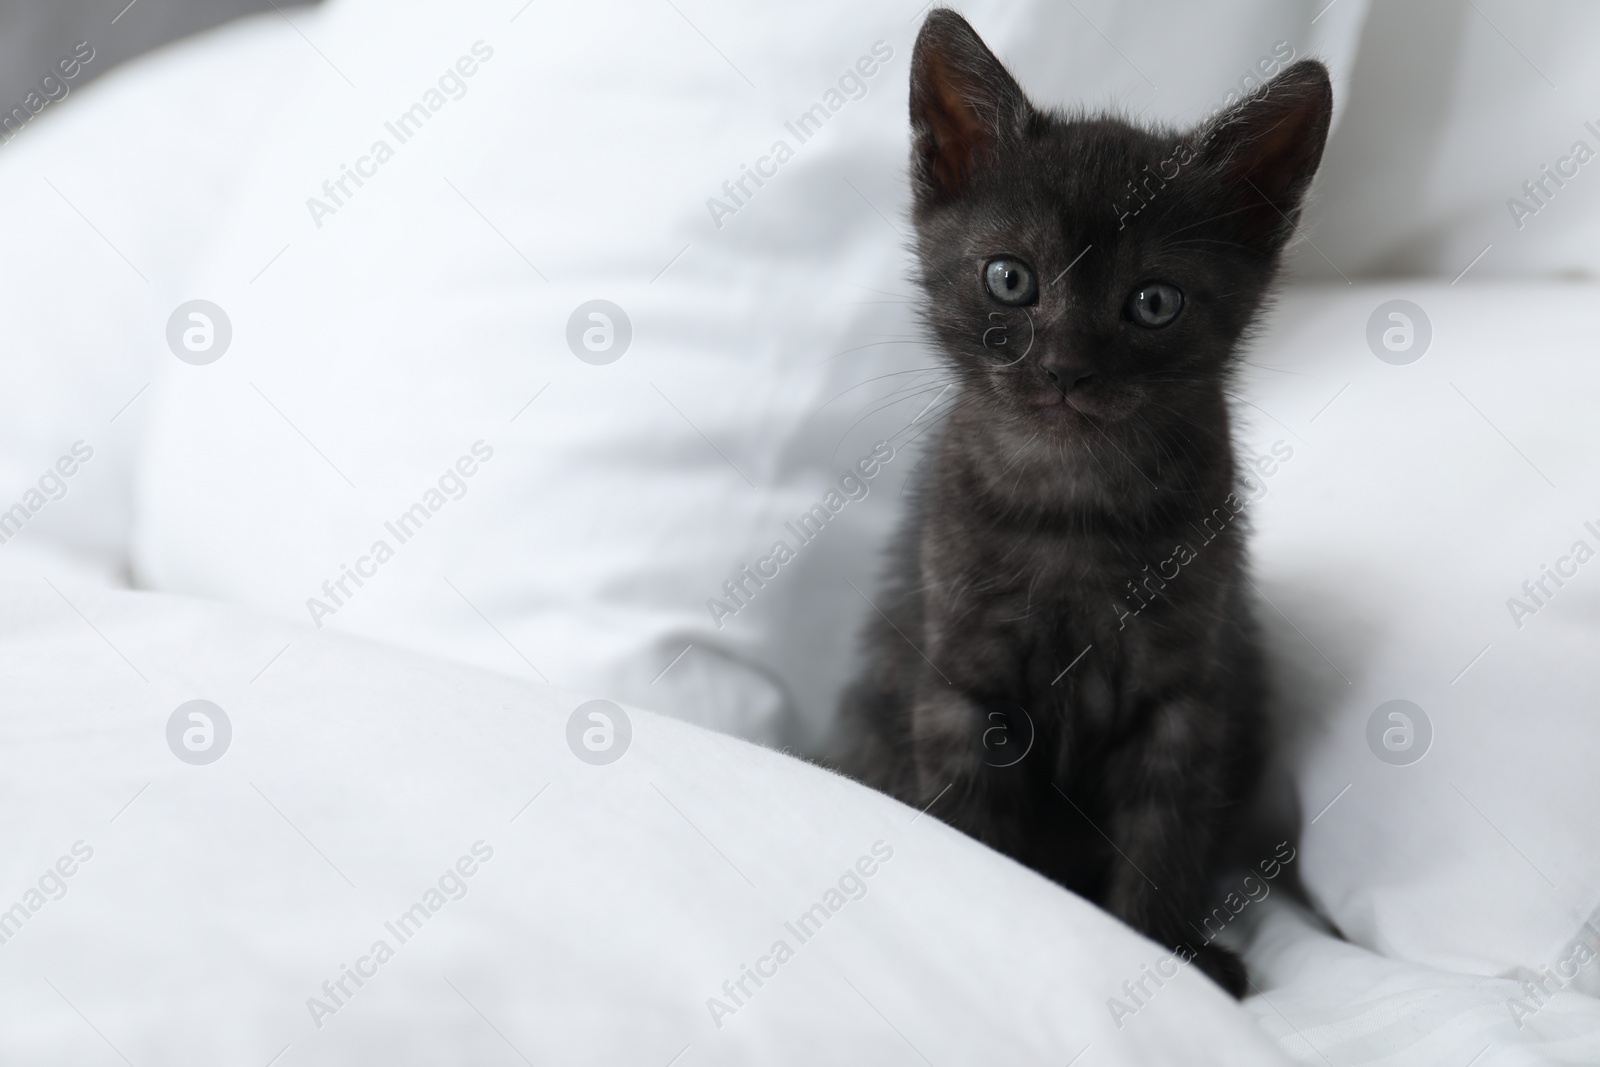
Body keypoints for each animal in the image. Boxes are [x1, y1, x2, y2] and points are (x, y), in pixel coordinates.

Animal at [832, 8, 1331, 998]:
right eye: (1010, 279)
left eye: (1154, 301)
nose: (1065, 369)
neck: (1074, 507)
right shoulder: (964, 684)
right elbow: (974, 825)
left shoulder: (1183, 695)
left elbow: (1164, 830)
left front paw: (1164, 951)